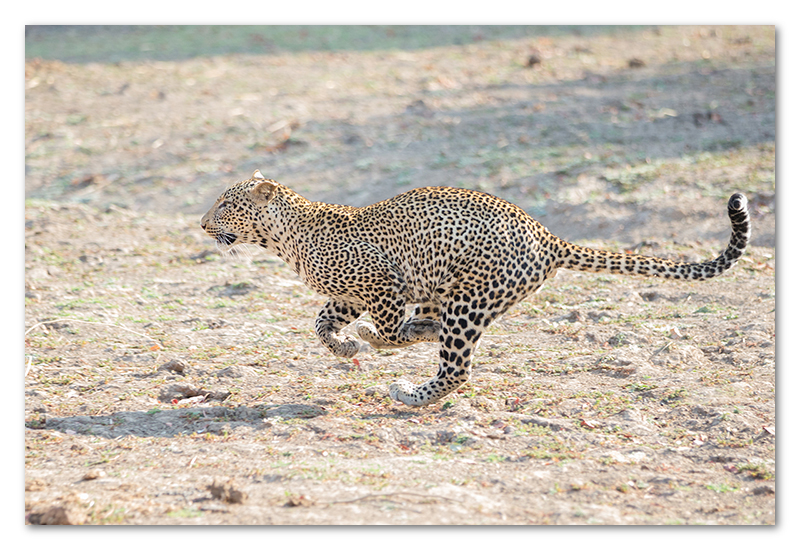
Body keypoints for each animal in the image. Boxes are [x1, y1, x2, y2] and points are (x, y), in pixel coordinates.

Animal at [200, 170, 752, 408]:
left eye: (226, 204)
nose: (202, 223)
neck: (286, 238)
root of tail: (547, 236)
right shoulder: (350, 295)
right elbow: (320, 324)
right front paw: (346, 347)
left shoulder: (383, 286)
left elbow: (390, 330)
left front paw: (384, 339)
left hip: (469, 302)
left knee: (457, 368)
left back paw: (413, 392)